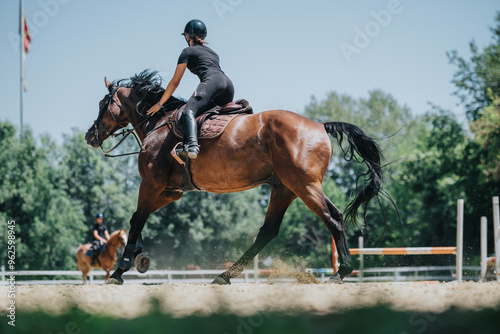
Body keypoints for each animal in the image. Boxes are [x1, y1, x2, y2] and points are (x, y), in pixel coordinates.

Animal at [86, 70, 396, 284]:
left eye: (102, 103)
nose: (90, 135)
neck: (158, 123)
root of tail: (320, 126)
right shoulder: (170, 191)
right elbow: (136, 218)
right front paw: (138, 256)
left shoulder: (152, 184)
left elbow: (137, 218)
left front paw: (121, 268)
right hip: (284, 188)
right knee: (268, 231)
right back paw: (224, 275)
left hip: (304, 186)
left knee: (333, 217)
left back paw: (340, 273)